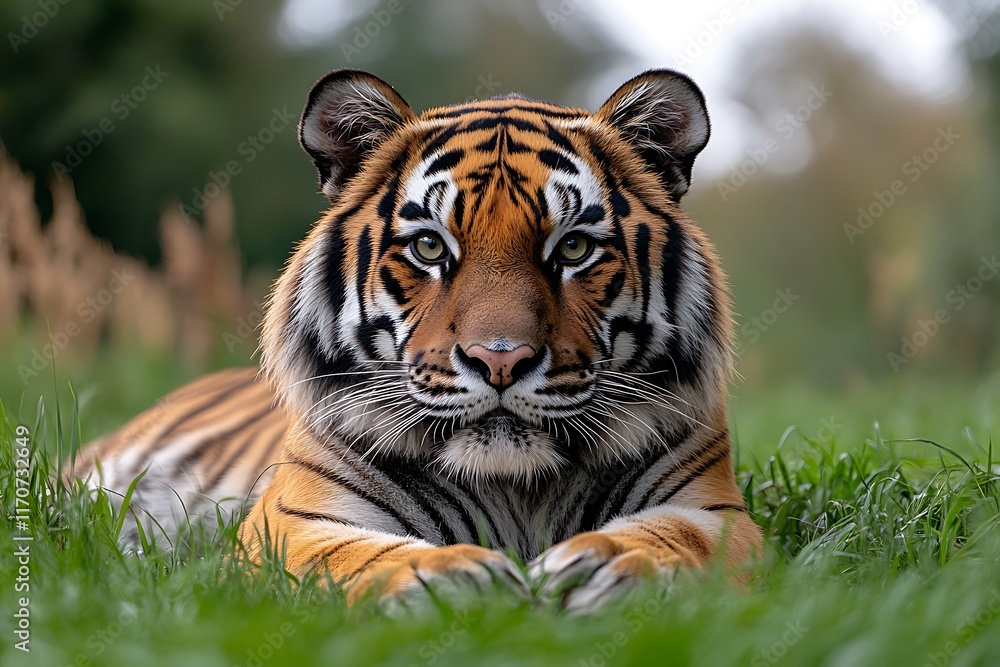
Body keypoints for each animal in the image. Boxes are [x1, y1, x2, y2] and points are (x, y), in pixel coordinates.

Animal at [75, 67, 762, 613]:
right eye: (431, 246)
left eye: (573, 248)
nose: (500, 360)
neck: (516, 488)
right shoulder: (294, 520)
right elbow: (352, 558)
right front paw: (456, 579)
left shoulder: (717, 513)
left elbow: (676, 540)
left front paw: (602, 567)